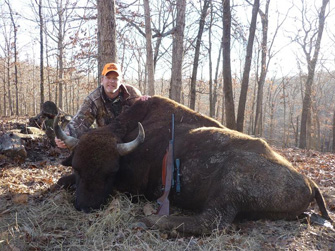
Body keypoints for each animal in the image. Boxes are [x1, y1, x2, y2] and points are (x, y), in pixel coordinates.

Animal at [54, 95, 334, 235]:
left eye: (110, 172)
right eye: (77, 167)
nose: (85, 207)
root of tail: (310, 182)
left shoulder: (133, 186)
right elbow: (61, 180)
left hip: (230, 186)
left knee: (211, 222)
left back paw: (149, 221)